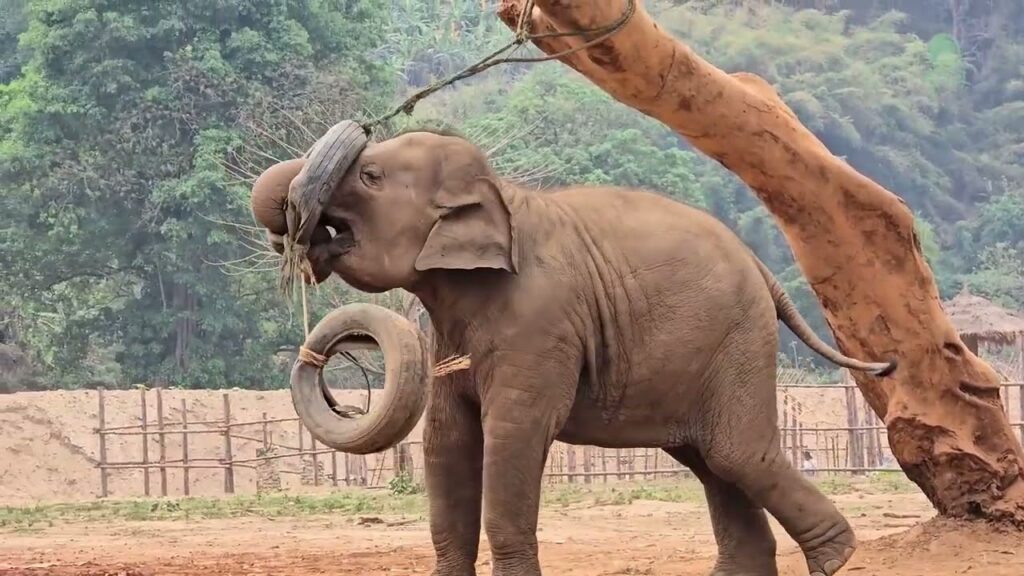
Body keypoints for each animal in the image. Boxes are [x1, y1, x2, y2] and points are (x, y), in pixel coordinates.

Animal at [249, 127, 897, 576]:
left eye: (371, 176)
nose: (296, 232)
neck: (500, 195)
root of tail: (763, 271)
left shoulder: (540, 320)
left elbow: (512, 435)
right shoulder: (451, 334)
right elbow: (446, 439)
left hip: (736, 338)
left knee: (737, 454)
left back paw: (838, 559)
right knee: (711, 460)